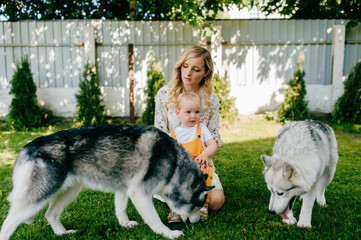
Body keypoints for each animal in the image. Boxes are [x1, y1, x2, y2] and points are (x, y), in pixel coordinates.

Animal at [0, 124, 211, 239]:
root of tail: (25, 148)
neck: (174, 163)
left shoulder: (124, 189)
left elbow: (121, 208)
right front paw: (168, 233)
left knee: (50, 214)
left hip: (69, 192)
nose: (199, 222)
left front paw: (125, 224)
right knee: (8, 223)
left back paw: (63, 234)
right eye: (197, 206)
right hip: (37, 197)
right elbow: (154, 220)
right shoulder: (140, 194)